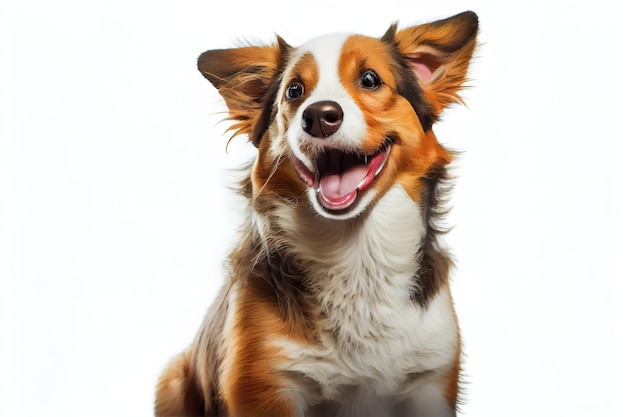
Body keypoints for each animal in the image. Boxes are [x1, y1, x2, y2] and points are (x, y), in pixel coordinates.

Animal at [156, 10, 478, 416]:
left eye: (370, 79)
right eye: (294, 91)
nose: (320, 116)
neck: (355, 253)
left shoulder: (429, 379)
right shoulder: (264, 386)